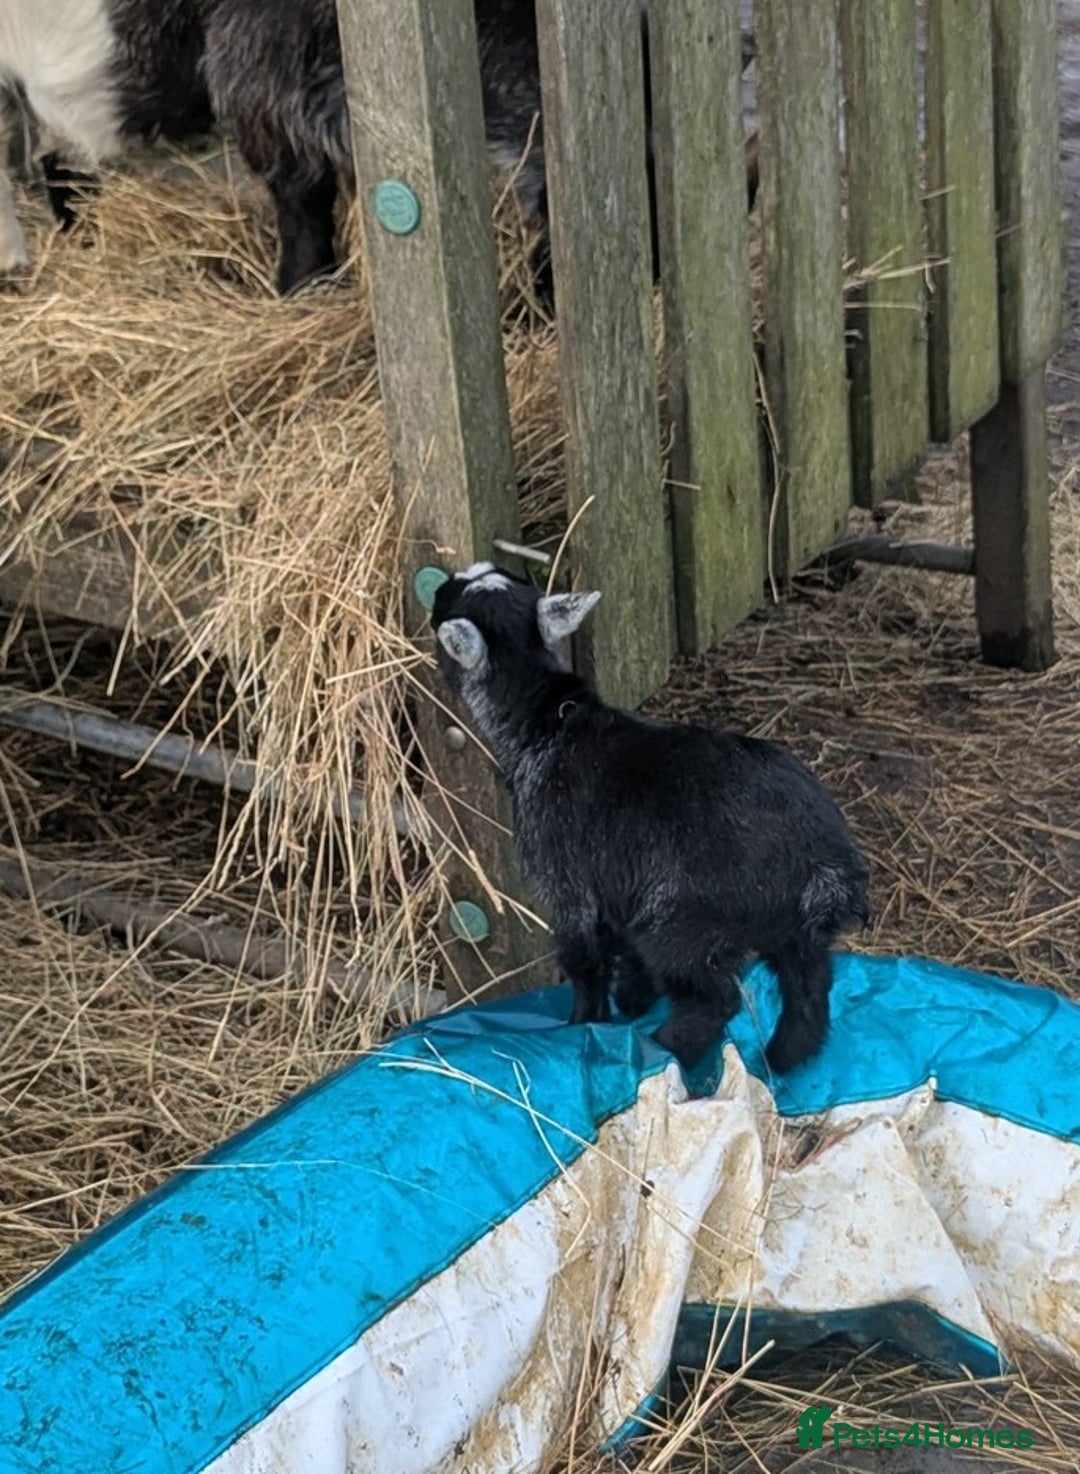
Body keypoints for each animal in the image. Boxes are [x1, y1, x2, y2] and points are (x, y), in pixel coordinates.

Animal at [431, 564, 870, 1075]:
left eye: (452, 600)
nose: (436, 588)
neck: (546, 719)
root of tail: (827, 864)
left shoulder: (566, 878)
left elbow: (584, 960)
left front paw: (583, 1026)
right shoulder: (619, 881)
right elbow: (624, 950)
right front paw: (633, 1000)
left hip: (682, 918)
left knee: (712, 1000)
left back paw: (662, 1051)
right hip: (793, 929)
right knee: (809, 991)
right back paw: (780, 1059)